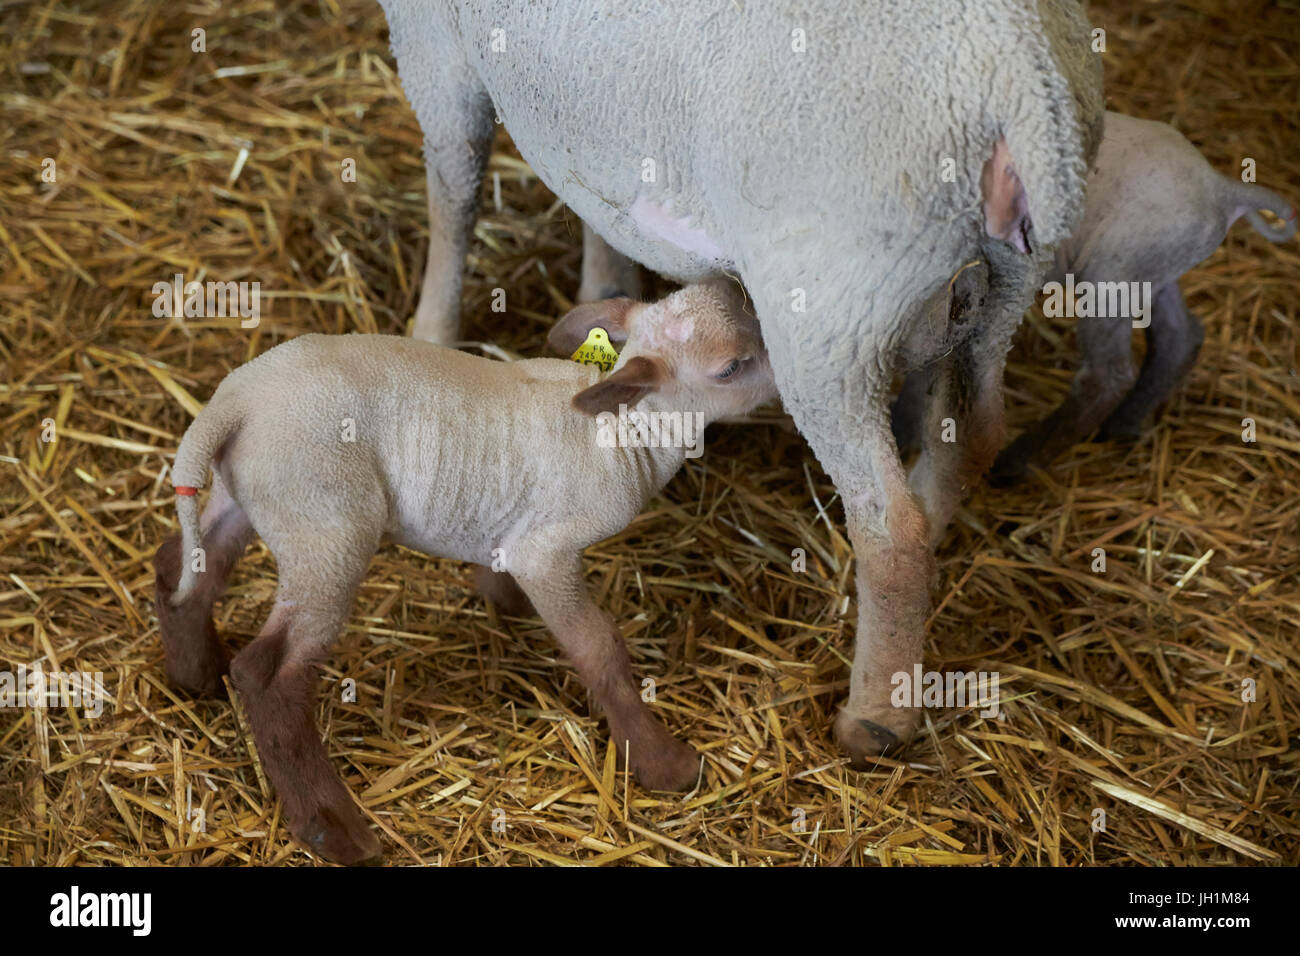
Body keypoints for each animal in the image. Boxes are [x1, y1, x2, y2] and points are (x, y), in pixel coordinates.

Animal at [153, 280, 776, 864]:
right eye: (730, 366)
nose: (784, 387)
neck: (627, 433)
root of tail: (231, 406)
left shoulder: (512, 529)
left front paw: (504, 604)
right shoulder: (546, 550)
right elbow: (599, 649)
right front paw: (663, 763)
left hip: (252, 497)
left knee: (180, 568)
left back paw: (195, 674)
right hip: (326, 526)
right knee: (268, 672)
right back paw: (332, 827)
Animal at [377, 0, 1104, 763]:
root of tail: (1024, 90)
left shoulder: (435, 48)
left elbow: (452, 194)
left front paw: (428, 332)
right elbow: (593, 208)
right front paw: (601, 290)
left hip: (832, 316)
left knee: (888, 526)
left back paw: (875, 716)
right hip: (1002, 294)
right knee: (970, 440)